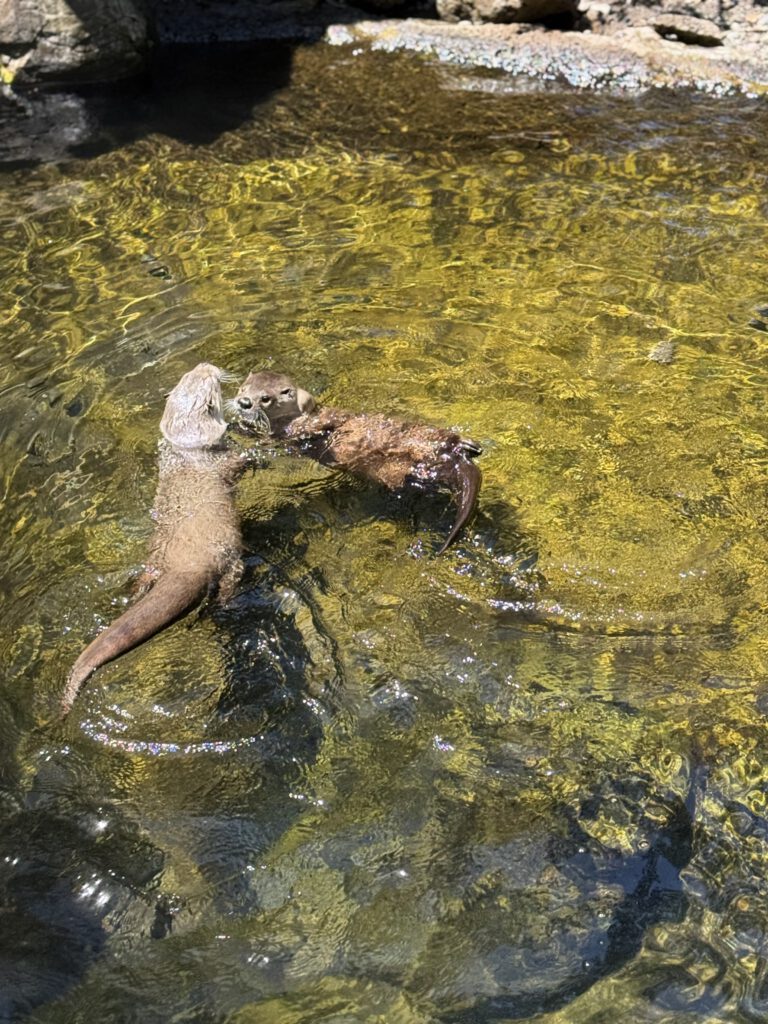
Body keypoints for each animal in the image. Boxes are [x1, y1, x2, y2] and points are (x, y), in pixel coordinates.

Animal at [62, 363, 252, 716]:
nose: (206, 365)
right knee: (229, 581)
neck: (187, 448)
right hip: (228, 554)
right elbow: (240, 461)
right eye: (210, 383)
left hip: (156, 558)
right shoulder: (225, 458)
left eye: (190, 375)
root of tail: (185, 565)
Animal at [232, 370, 482, 553]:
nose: (243, 402)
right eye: (243, 388)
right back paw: (471, 446)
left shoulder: (292, 432)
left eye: (265, 398)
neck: (296, 419)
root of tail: (454, 458)